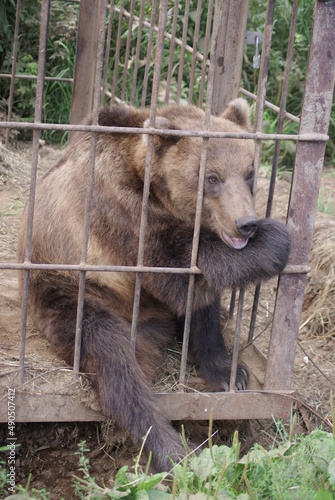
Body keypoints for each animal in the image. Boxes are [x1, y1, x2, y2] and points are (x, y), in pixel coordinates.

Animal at [17, 98, 292, 472]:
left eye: (249, 172)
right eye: (211, 176)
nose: (245, 224)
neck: (150, 183)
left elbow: (201, 304)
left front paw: (228, 372)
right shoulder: (118, 213)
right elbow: (178, 260)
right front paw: (275, 240)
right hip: (66, 287)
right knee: (110, 355)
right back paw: (173, 449)